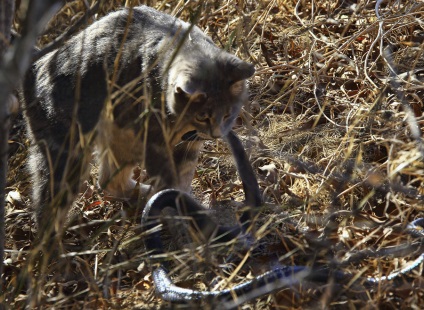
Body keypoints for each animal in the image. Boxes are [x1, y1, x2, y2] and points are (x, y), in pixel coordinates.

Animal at [21, 6, 255, 231]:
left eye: (228, 114)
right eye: (202, 116)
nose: (216, 134)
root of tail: (35, 67)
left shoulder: (187, 146)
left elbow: (182, 178)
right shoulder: (154, 144)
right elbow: (170, 182)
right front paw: (180, 216)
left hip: (122, 141)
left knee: (108, 182)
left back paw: (143, 196)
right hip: (67, 157)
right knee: (46, 213)